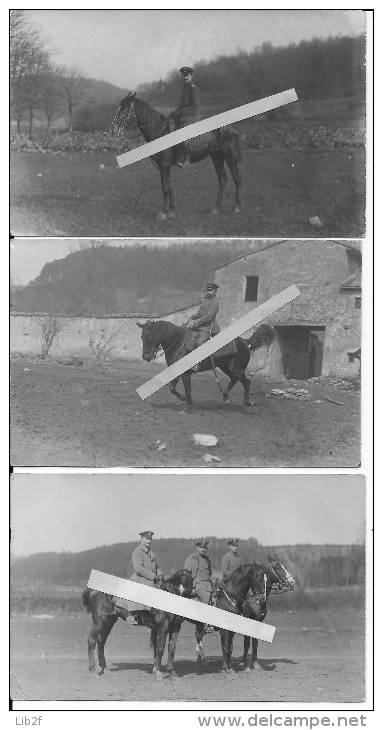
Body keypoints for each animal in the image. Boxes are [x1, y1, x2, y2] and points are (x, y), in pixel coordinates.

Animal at [111, 91, 243, 216]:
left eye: (125, 107)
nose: (113, 129)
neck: (160, 131)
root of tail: (234, 127)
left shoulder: (163, 165)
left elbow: (165, 187)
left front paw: (163, 212)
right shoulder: (166, 166)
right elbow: (170, 187)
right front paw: (172, 210)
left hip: (229, 155)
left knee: (237, 178)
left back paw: (237, 207)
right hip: (216, 156)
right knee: (222, 179)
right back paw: (216, 208)